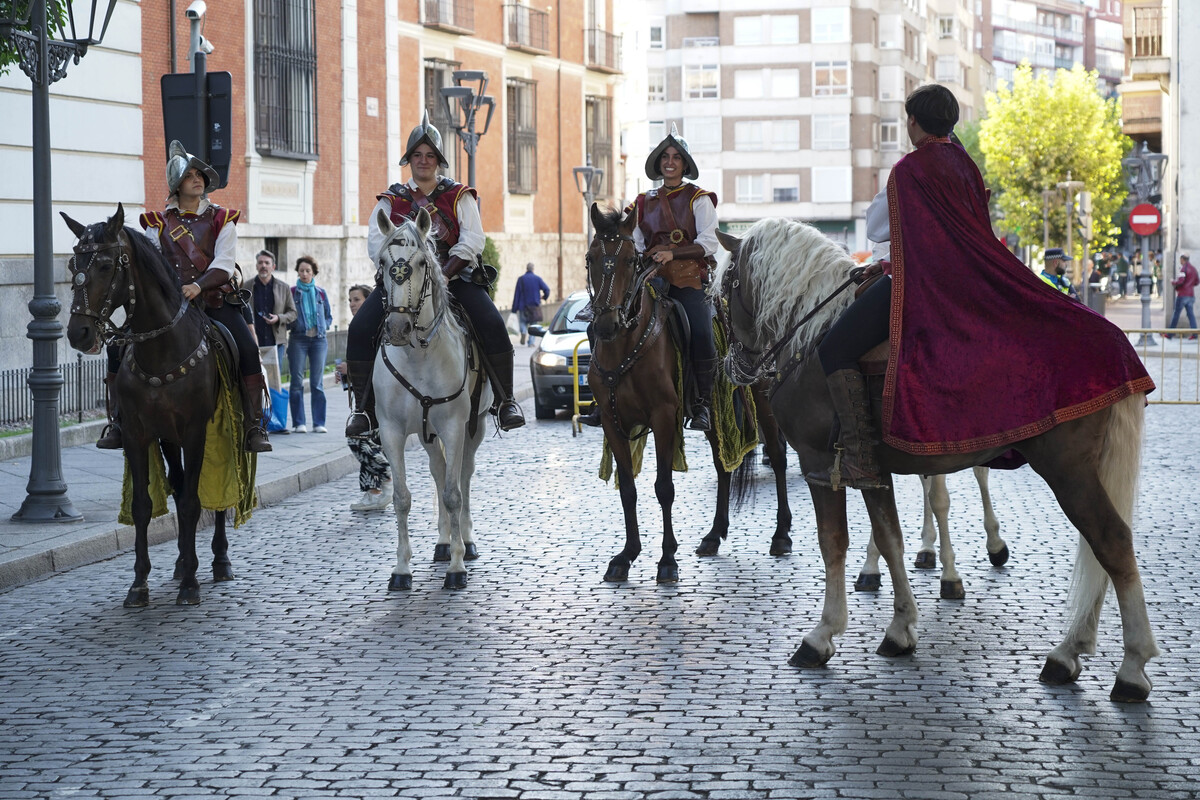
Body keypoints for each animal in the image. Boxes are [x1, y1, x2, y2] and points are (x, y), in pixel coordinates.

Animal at [63, 205, 236, 606]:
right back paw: (182, 562)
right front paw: (139, 583)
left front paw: (191, 584)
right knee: (179, 483)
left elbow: (192, 502)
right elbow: (143, 506)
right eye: (72, 263)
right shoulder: (138, 434)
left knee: (213, 492)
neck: (161, 349)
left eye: (105, 265)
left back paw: (219, 561)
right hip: (169, 440)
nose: (78, 333)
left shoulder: (195, 432)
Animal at [369, 208, 492, 587]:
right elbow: (402, 498)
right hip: (427, 432)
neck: (417, 356)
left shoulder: (454, 425)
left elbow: (453, 494)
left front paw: (457, 567)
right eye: (383, 261)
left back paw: (465, 540)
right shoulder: (391, 431)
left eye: (422, 262)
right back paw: (442, 541)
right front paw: (401, 569)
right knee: (439, 471)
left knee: (462, 474)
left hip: (474, 426)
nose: (397, 329)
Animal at [585, 205, 792, 582]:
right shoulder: (611, 421)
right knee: (723, 463)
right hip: (714, 411)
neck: (624, 344)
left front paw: (667, 559)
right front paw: (626, 555)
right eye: (591, 258)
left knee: (778, 455)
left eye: (629, 260)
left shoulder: (664, 417)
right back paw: (713, 535)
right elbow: (628, 489)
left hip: (764, 398)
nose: (606, 324)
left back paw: (781, 534)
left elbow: (664, 487)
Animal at [854, 470, 1012, 599]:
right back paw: (927, 548)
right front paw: (870, 567)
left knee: (980, 472)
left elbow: (939, 501)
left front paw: (950, 576)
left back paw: (995, 544)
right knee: (926, 481)